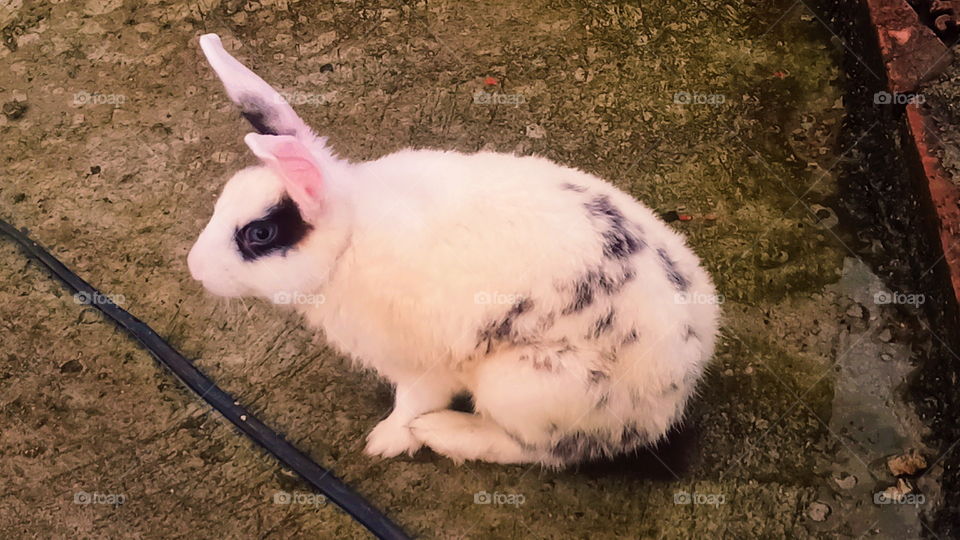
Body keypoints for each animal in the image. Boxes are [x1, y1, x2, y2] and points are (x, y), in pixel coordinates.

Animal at [187, 33, 721, 467]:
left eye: (259, 235)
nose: (194, 269)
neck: (349, 239)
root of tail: (678, 390)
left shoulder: (420, 366)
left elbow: (411, 402)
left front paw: (387, 440)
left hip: (522, 386)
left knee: (537, 451)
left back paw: (442, 434)